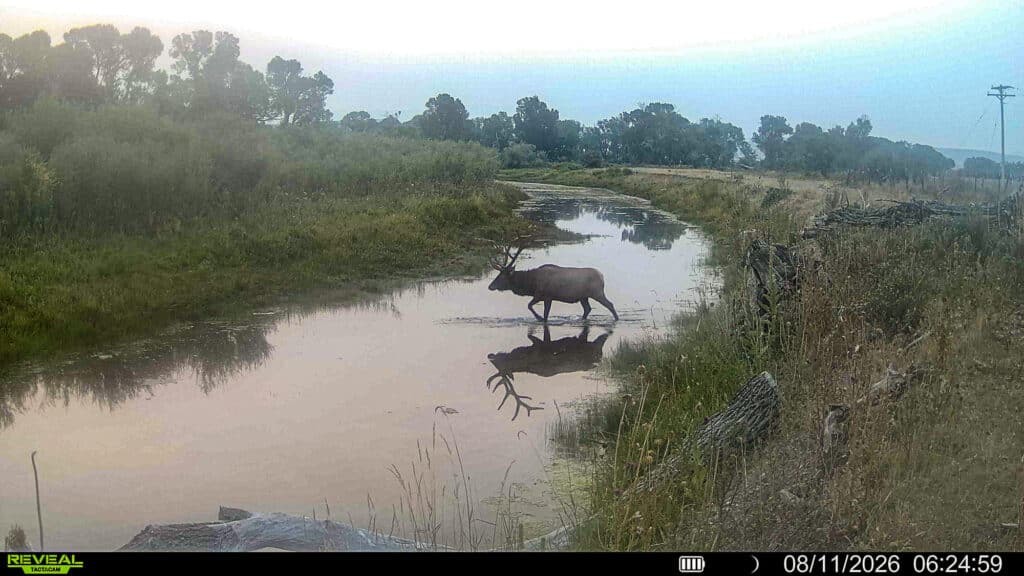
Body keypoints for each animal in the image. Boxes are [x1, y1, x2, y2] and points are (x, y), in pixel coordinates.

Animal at [484, 236, 619, 322]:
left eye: (502, 276)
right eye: (498, 274)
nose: (490, 286)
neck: (531, 283)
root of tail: (602, 276)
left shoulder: (544, 296)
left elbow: (532, 307)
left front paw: (539, 318)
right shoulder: (546, 297)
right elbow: (540, 311)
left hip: (597, 293)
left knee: (610, 304)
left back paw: (617, 319)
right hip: (583, 297)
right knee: (588, 308)